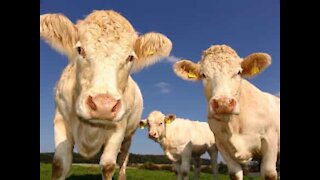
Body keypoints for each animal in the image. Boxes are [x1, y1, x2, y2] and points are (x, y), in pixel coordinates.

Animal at [40, 10, 172, 180]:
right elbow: (60, 163)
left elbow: (108, 166)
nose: (104, 105)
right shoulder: (60, 119)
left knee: (123, 159)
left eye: (130, 57)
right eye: (80, 50)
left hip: (129, 136)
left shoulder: (119, 128)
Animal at [172, 44, 280, 180]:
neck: (234, 124)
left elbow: (269, 173)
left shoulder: (270, 141)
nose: (223, 103)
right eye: (203, 74)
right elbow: (234, 174)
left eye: (239, 72)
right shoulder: (222, 146)